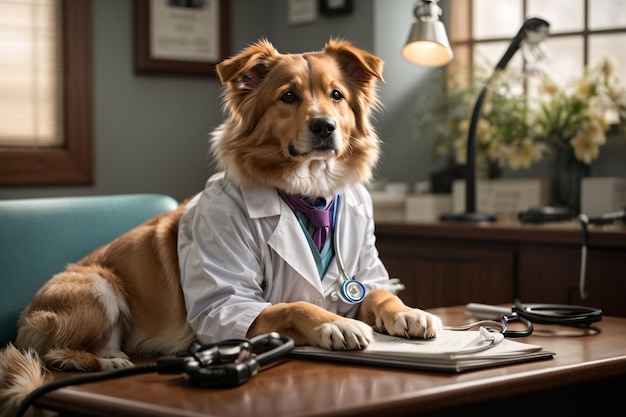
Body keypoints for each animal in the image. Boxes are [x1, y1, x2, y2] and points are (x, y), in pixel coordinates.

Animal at [0, 38, 438, 412]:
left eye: (336, 96)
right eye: (289, 96)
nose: (324, 126)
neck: (309, 192)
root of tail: (26, 318)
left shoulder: (365, 273)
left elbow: (379, 293)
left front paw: (409, 314)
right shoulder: (229, 307)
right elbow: (293, 304)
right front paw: (335, 323)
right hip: (98, 285)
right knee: (50, 353)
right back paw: (109, 363)